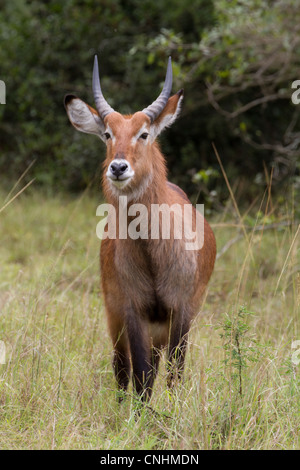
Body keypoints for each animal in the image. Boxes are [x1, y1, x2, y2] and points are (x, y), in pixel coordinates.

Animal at [65, 55, 216, 400]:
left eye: (144, 133)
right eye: (107, 134)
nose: (119, 167)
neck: (151, 253)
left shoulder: (181, 311)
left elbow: (175, 373)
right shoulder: (132, 311)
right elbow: (141, 376)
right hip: (116, 316)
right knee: (122, 367)